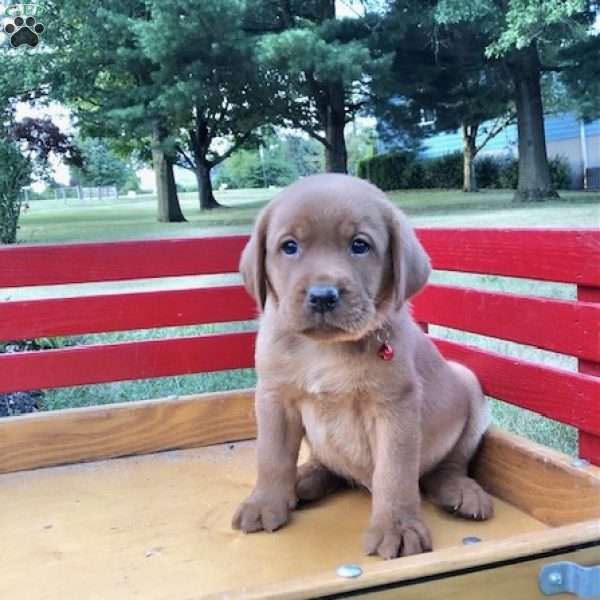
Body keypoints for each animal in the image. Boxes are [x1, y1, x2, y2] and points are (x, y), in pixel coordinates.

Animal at [231, 172, 492, 556]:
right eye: (289, 247)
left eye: (359, 245)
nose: (323, 296)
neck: (324, 349)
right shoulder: (274, 399)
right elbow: (271, 457)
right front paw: (264, 503)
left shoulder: (395, 409)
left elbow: (394, 474)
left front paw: (397, 527)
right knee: (328, 465)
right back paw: (306, 478)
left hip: (470, 387)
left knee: (447, 467)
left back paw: (461, 490)